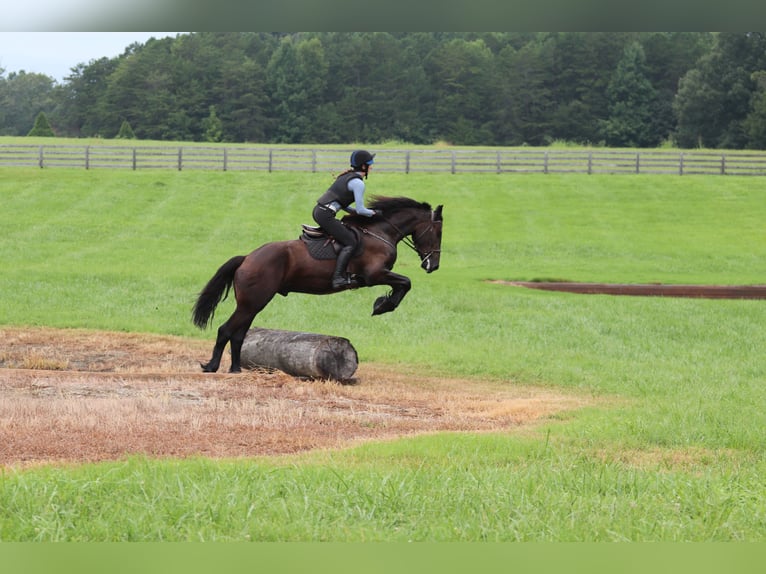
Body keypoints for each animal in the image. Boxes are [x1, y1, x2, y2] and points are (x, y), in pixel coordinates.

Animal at [190, 196, 444, 376]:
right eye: (437, 232)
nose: (433, 265)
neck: (380, 232)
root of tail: (247, 258)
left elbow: (404, 284)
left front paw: (383, 303)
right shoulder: (375, 275)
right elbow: (406, 283)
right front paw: (383, 305)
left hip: (253, 304)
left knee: (239, 334)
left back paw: (235, 369)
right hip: (252, 302)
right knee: (226, 330)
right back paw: (211, 366)